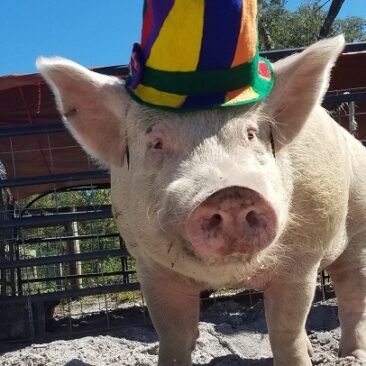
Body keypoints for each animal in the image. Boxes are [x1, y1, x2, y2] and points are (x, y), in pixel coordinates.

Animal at [36, 35, 366, 366]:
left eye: (250, 134)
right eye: (156, 142)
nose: (231, 194)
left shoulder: (301, 261)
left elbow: (287, 331)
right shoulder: (152, 267)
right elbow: (173, 336)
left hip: (359, 228)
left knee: (352, 293)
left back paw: (351, 355)